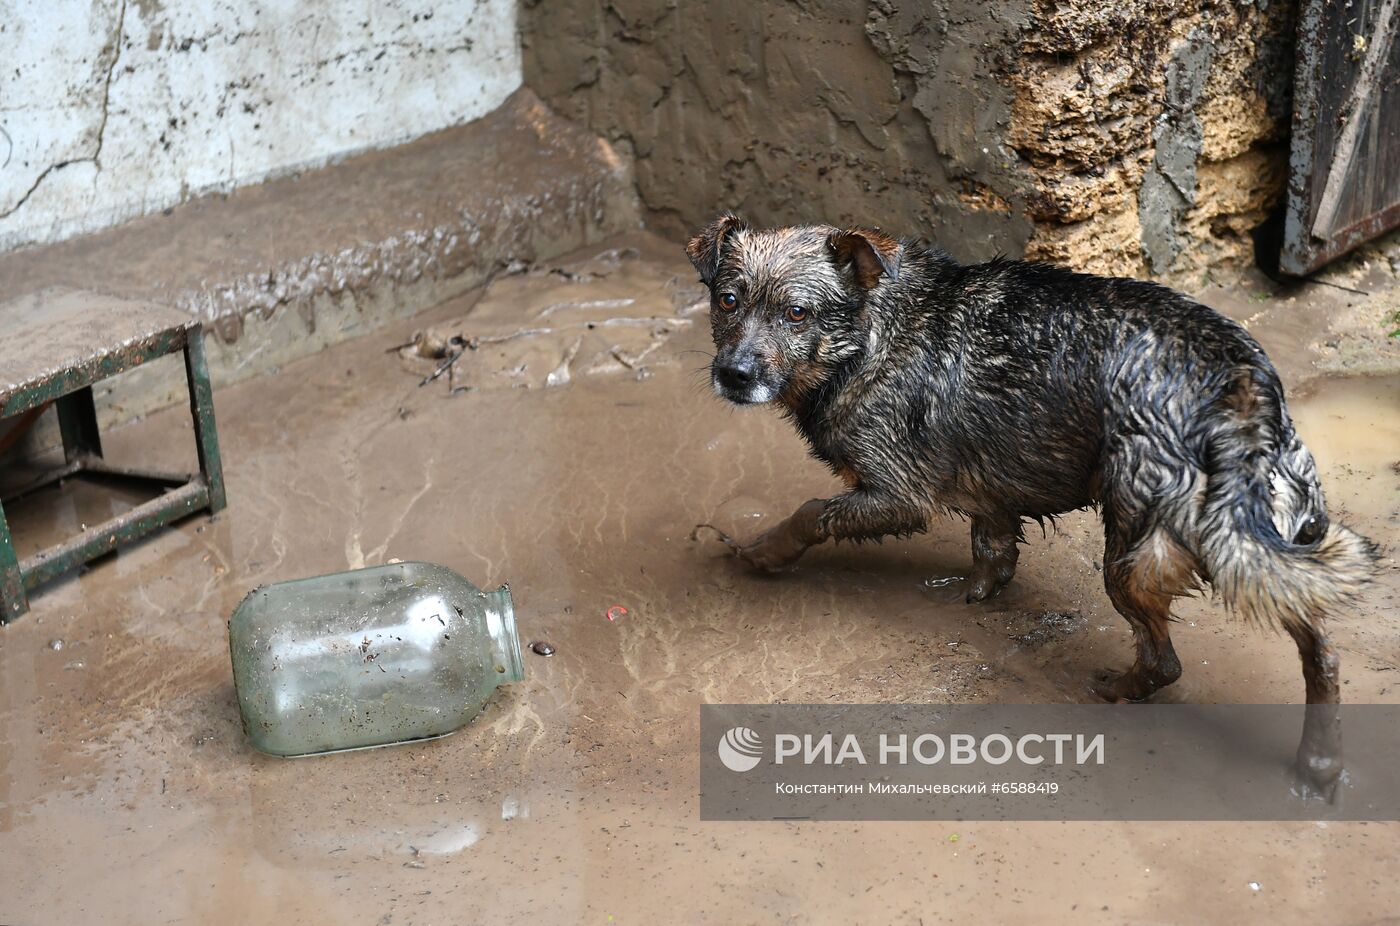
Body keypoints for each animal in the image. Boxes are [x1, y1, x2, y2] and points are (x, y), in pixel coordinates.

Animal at [688, 211, 1377, 795]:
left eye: (796, 313)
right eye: (727, 301)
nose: (734, 374)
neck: (868, 334)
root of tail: (1235, 380)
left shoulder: (897, 493)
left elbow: (809, 513)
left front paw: (760, 553)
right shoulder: (988, 493)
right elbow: (992, 549)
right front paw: (975, 590)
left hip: (1133, 558)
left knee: (1166, 662)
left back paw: (1120, 688)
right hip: (1267, 543)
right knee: (1322, 648)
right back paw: (1321, 760)